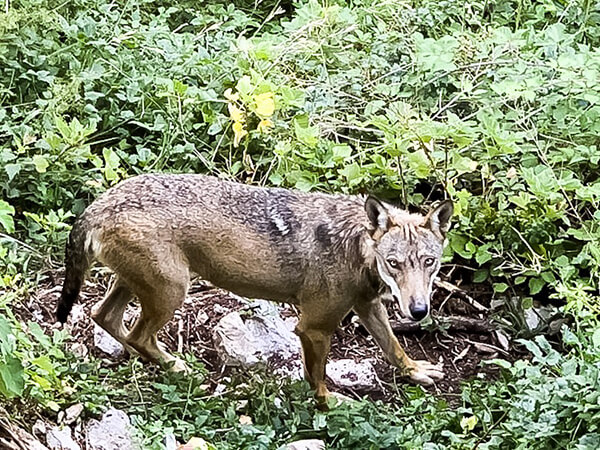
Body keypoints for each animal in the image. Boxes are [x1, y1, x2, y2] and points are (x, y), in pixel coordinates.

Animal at [56, 173, 452, 400]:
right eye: (394, 263)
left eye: (428, 263)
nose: (419, 310)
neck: (355, 247)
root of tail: (96, 206)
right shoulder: (313, 327)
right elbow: (318, 380)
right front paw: (334, 404)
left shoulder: (368, 305)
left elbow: (394, 347)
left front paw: (417, 371)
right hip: (173, 291)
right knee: (138, 335)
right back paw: (179, 369)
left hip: (142, 286)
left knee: (105, 317)